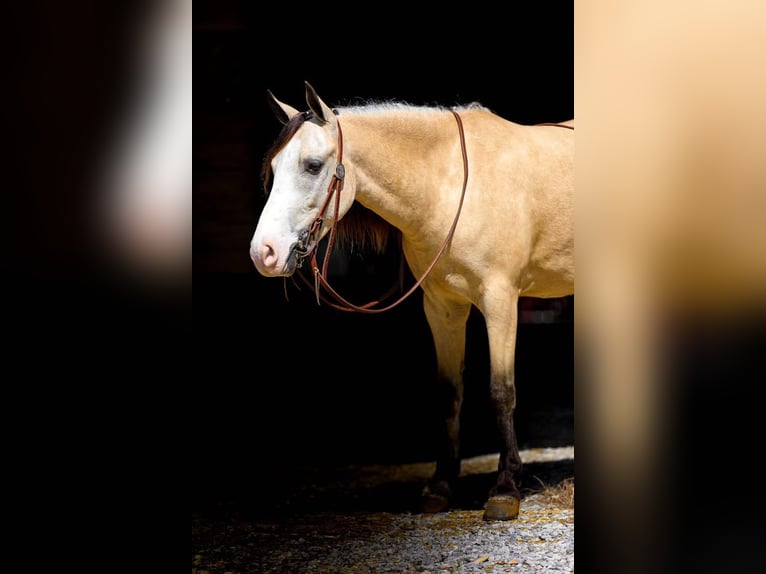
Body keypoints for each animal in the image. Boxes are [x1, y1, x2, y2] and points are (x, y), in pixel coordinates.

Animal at [249, 82, 574, 520]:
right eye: (274, 166)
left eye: (313, 165)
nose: (263, 252)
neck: (451, 187)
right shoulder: (442, 308)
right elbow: (449, 392)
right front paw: (440, 487)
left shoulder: (500, 300)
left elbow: (501, 391)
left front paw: (505, 490)